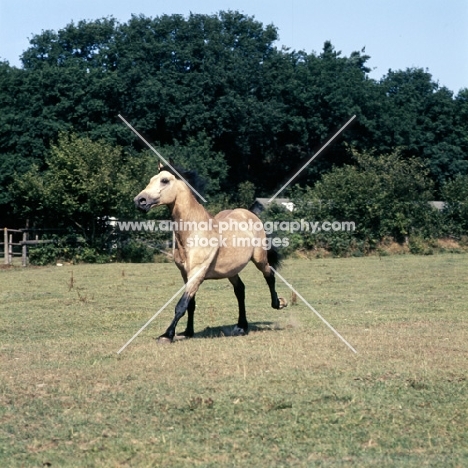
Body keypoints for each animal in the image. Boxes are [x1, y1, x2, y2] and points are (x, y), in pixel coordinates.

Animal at [133, 165, 288, 344]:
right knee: (240, 290)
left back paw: (279, 303)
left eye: (164, 180)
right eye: (151, 179)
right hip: (231, 270)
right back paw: (241, 326)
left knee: (269, 275)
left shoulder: (197, 274)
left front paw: (167, 335)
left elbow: (181, 305)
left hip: (259, 259)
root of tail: (249, 213)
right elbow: (190, 304)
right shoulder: (185, 275)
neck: (194, 233)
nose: (139, 200)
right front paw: (187, 332)